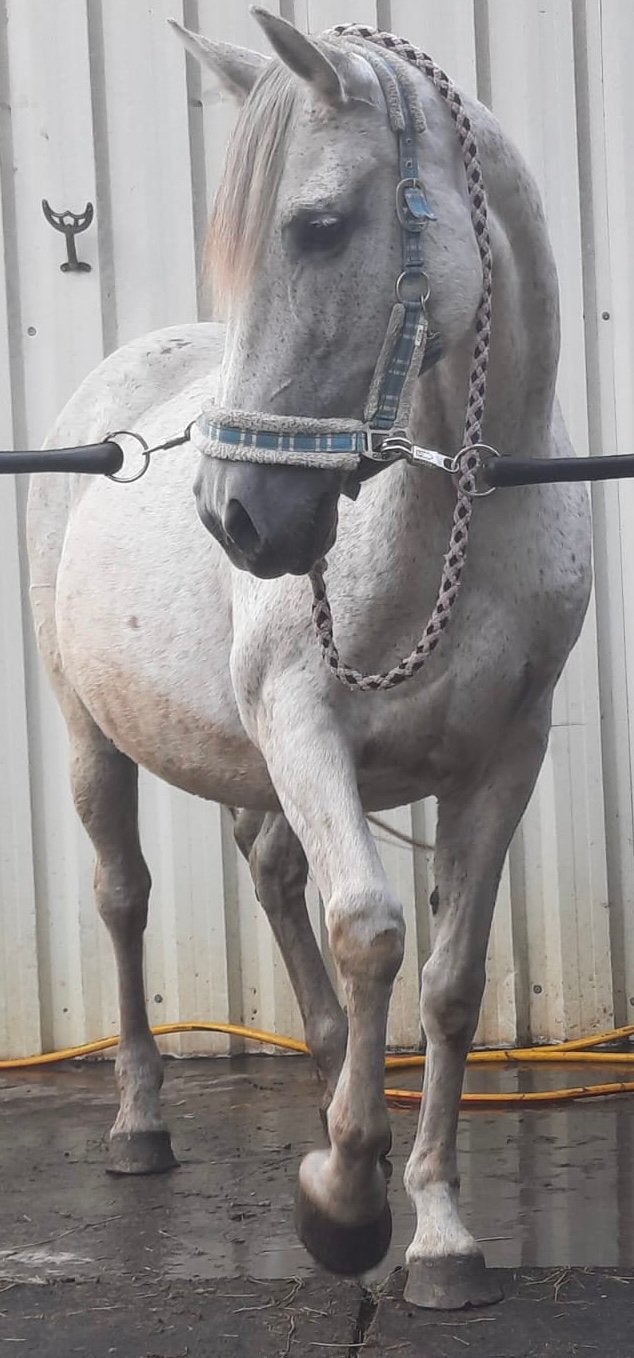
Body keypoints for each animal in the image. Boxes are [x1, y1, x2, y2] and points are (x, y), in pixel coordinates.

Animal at [26, 8, 592, 1311]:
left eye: (320, 225)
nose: (236, 517)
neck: (446, 526)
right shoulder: (301, 722)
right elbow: (371, 929)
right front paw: (340, 1204)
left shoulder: (507, 754)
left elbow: (448, 978)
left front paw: (435, 1225)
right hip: (90, 736)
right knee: (125, 897)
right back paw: (142, 1123)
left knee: (274, 871)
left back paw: (335, 1076)